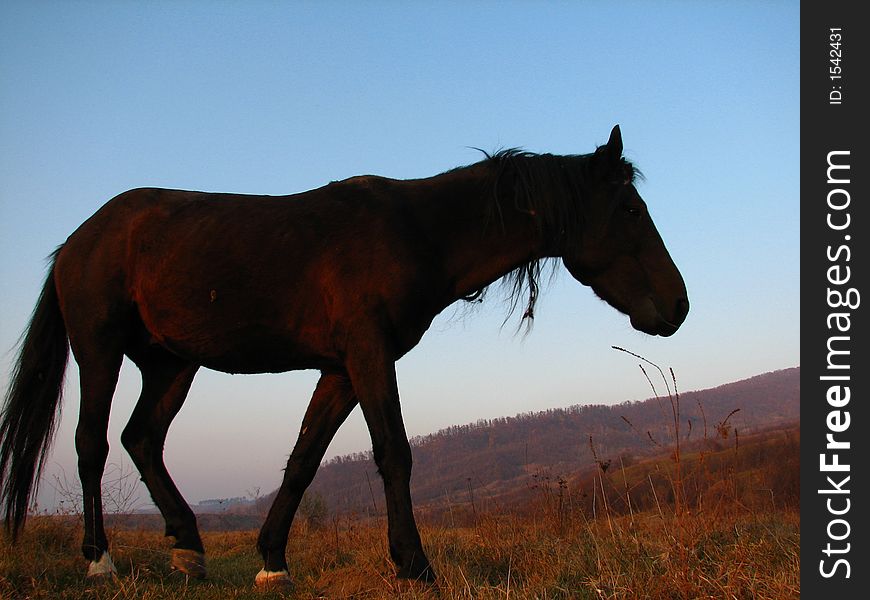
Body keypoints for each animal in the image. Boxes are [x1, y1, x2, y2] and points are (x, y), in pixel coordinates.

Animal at [3, 125, 692, 584]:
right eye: (630, 208)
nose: (678, 306)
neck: (417, 230)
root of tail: (77, 240)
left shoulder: (339, 368)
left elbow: (304, 460)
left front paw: (273, 561)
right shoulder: (369, 353)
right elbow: (394, 452)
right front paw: (414, 565)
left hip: (172, 366)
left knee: (141, 438)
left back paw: (189, 547)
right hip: (100, 351)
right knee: (91, 445)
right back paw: (100, 561)